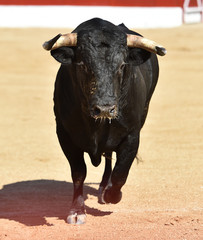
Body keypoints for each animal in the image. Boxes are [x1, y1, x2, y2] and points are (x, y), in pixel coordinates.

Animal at [43, 17, 164, 224]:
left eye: (122, 65)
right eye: (82, 65)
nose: (105, 108)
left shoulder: (132, 135)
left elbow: (121, 173)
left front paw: (111, 195)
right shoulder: (64, 134)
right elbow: (78, 173)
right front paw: (77, 211)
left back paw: (104, 188)